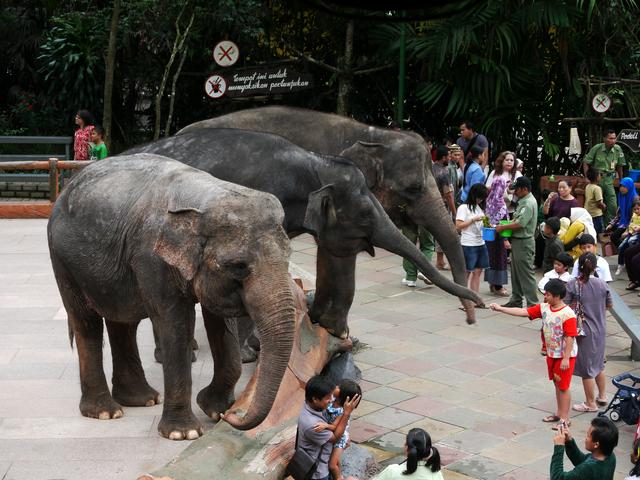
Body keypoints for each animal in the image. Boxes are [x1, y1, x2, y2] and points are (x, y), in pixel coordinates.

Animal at [48, 154, 296, 438]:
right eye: (239, 266)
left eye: (289, 256)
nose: (235, 416)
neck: (205, 198)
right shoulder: (151, 258)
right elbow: (176, 324)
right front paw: (184, 433)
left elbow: (220, 323)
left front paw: (215, 410)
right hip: (63, 261)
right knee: (86, 321)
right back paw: (105, 412)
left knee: (123, 322)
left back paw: (142, 400)